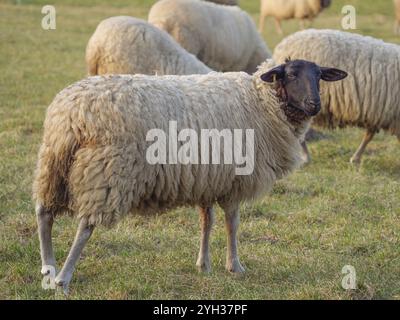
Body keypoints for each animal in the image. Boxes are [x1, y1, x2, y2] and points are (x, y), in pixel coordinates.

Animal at [32, 58, 346, 294]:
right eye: (291, 74)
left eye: (319, 76)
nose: (314, 105)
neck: (263, 102)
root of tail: (71, 114)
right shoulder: (234, 180)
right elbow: (232, 223)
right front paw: (235, 266)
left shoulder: (207, 179)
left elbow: (207, 221)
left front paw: (203, 265)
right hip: (107, 173)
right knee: (85, 227)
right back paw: (63, 279)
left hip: (53, 166)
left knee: (44, 213)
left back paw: (48, 269)